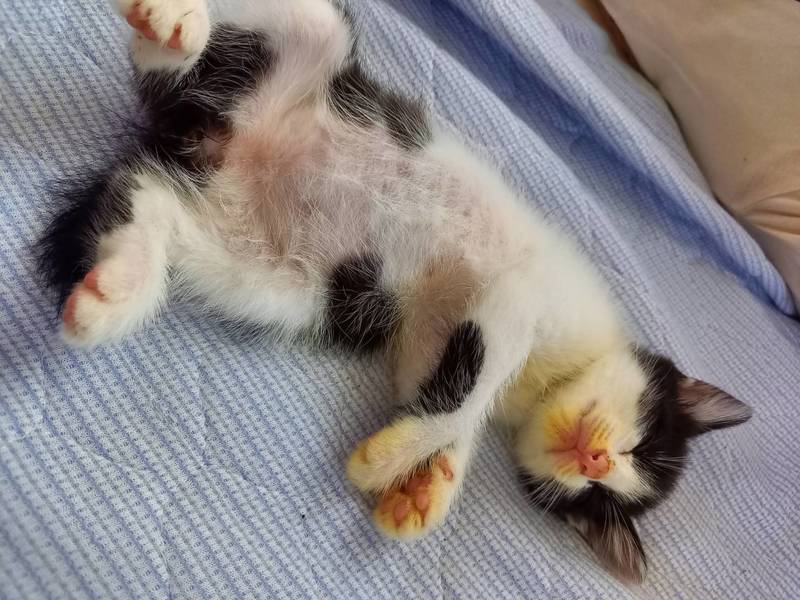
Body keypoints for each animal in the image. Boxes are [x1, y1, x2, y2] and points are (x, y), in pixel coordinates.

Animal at [38, 0, 752, 582]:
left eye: (593, 500)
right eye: (642, 440)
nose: (597, 460)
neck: (547, 380)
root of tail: (201, 138)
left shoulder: (433, 336)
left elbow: (444, 385)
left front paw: (429, 486)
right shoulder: (524, 292)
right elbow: (474, 387)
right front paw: (387, 463)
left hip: (276, 277)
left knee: (157, 204)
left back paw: (117, 289)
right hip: (305, 61)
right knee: (275, 33)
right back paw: (173, 24)